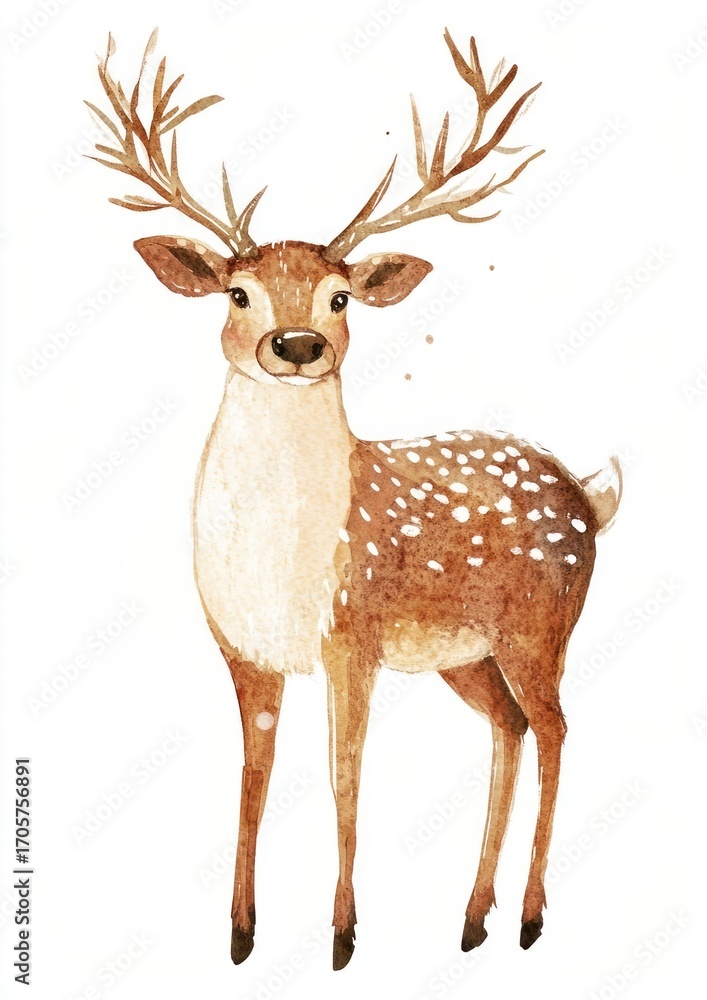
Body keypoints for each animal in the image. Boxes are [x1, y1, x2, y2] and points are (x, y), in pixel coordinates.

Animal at [87, 29, 622, 970]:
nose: (296, 343)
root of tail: (587, 497)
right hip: (464, 654)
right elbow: (253, 780)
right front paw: (239, 935)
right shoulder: (242, 648)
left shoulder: (354, 633)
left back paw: (526, 919)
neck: (284, 562)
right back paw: (471, 919)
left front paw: (340, 937)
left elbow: (344, 778)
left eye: (340, 297)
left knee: (556, 729)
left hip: (539, 622)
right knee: (510, 728)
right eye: (237, 292)